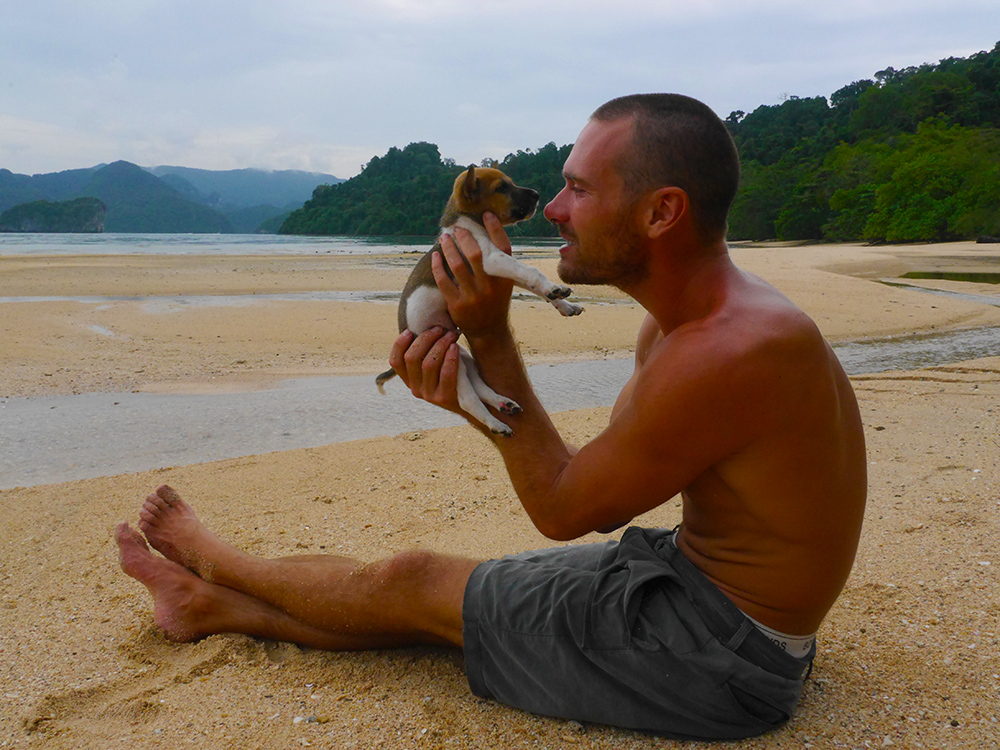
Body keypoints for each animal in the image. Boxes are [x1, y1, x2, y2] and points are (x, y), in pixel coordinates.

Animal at [376, 164, 584, 436]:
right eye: (501, 187)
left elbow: (533, 285)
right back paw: (497, 424)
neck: (470, 225)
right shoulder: (492, 260)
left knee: (482, 388)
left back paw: (504, 404)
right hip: (452, 363)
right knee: (468, 400)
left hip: (464, 358)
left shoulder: (503, 268)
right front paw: (554, 288)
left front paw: (562, 302)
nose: (538, 195)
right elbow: (532, 271)